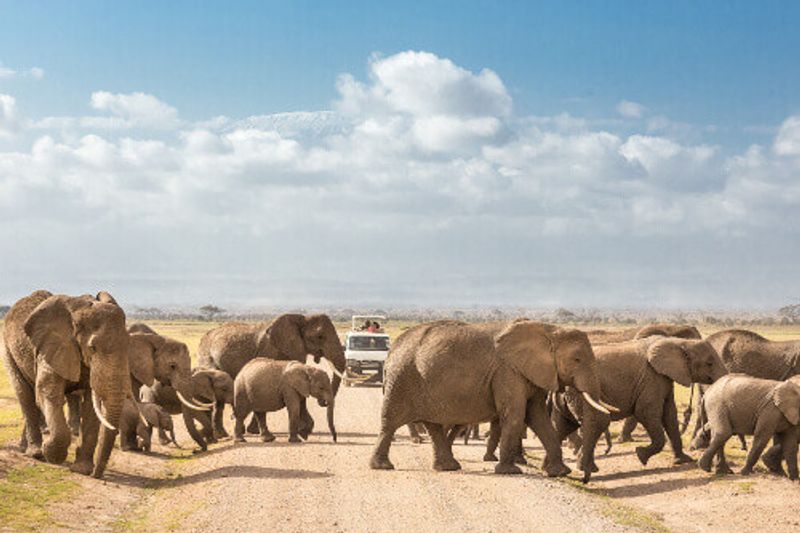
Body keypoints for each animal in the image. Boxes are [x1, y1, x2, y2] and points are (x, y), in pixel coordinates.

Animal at [1, 290, 130, 478]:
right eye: (92, 348)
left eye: (129, 345)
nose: (96, 475)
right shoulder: (52, 347)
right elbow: (49, 393)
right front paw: (50, 452)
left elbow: (91, 406)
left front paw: (82, 470)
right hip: (8, 350)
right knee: (25, 395)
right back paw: (36, 453)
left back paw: (26, 449)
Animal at [195, 314, 346, 438]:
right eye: (320, 336)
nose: (323, 402)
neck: (302, 319)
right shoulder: (271, 349)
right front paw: (305, 430)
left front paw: (305, 430)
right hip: (207, 357)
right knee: (218, 399)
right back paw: (224, 434)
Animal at [368, 318, 612, 476]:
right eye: (577, 359)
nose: (585, 476)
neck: (549, 330)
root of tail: (392, 349)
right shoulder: (508, 372)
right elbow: (515, 415)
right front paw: (510, 471)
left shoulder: (530, 374)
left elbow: (538, 418)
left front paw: (560, 473)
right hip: (402, 379)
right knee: (390, 422)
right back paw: (382, 467)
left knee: (433, 425)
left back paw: (449, 467)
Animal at [552, 334, 724, 480]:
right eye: (709, 363)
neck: (679, 342)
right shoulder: (651, 377)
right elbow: (646, 412)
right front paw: (641, 455)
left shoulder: (664, 378)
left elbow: (669, 415)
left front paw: (683, 460)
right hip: (581, 391)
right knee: (596, 422)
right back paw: (586, 468)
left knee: (568, 424)